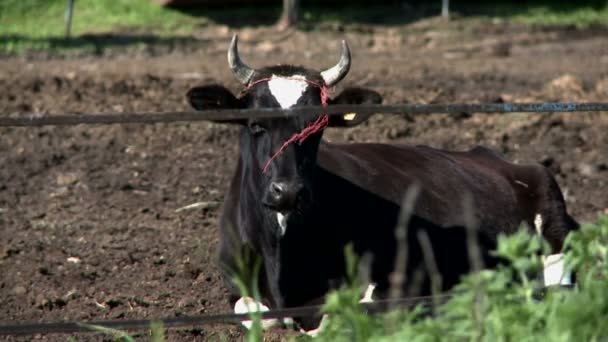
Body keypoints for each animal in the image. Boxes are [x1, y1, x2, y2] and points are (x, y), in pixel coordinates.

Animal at [186, 35, 580, 334]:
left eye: (319, 127)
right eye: (255, 124)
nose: (289, 192)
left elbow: (339, 318)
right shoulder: (235, 283)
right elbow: (254, 314)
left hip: (555, 236)